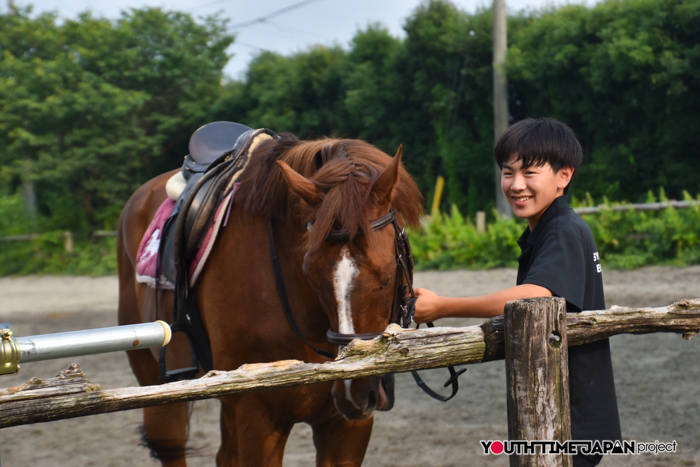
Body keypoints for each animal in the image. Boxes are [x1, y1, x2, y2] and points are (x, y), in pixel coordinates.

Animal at [117, 132, 423, 466]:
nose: (355, 389)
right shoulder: (258, 416)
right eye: (310, 272)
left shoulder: (346, 428)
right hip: (157, 386)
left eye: (388, 273)